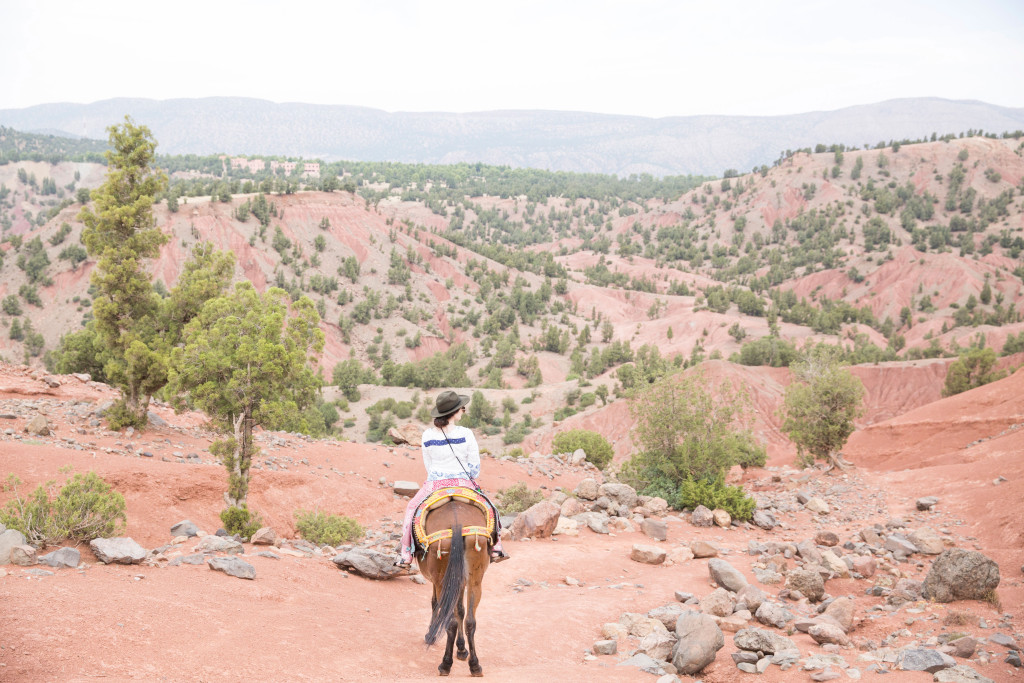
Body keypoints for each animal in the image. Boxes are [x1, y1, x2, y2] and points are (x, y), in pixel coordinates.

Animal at [419, 499, 491, 675]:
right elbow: (460, 610)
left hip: (441, 577)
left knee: (449, 621)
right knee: (470, 621)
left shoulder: (438, 582)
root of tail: (456, 521)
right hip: (474, 576)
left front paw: (430, 635)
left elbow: (435, 604)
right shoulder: (460, 580)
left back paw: (445, 664)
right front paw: (462, 649)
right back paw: (475, 665)